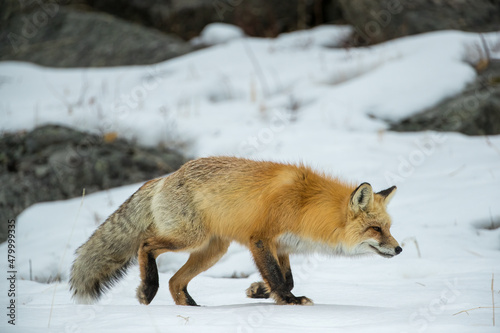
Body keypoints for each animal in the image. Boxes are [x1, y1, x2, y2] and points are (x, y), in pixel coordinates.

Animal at [70, 157, 400, 304]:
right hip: (190, 238)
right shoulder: (260, 239)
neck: (305, 204)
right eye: (375, 229)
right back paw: (148, 288)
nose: (399, 249)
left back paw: (194, 310)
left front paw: (258, 291)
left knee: (176, 282)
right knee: (146, 246)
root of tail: (165, 177)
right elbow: (278, 277)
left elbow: (286, 278)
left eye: (388, 227)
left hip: (212, 251)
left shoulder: (282, 246)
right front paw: (289, 302)